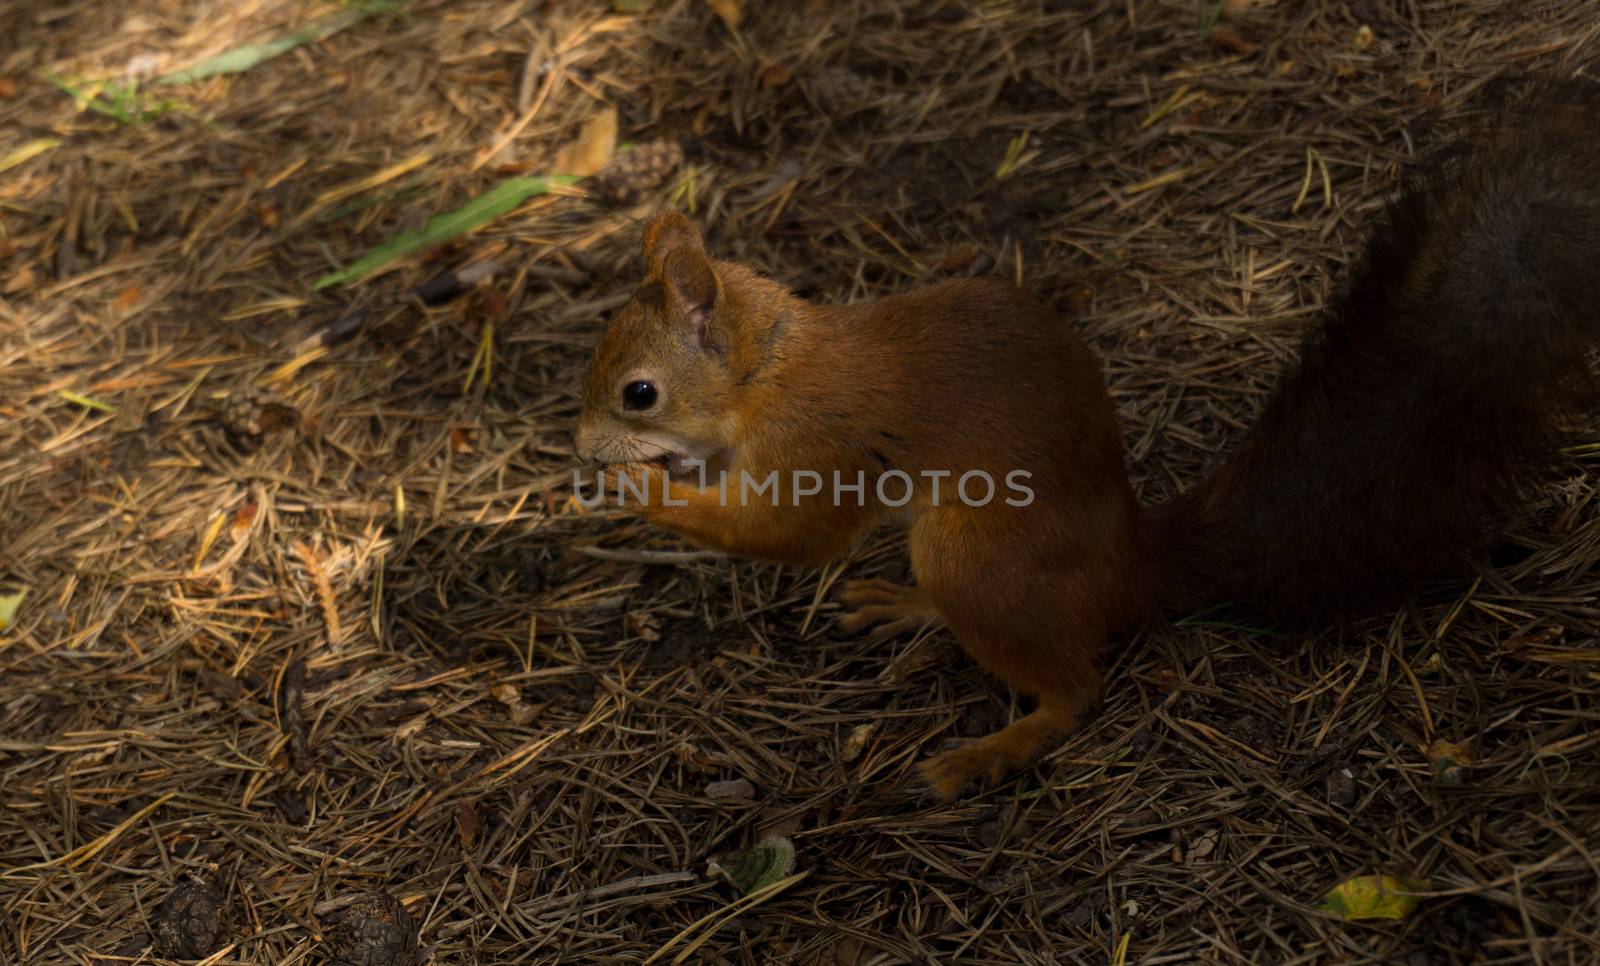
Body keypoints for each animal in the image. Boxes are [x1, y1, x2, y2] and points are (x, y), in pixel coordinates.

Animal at [572, 77, 1600, 799]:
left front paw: (643, 491)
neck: (765, 374)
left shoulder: (816, 442)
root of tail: (1129, 565)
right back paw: (907, 609)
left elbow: (787, 535)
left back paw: (994, 749)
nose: (583, 451)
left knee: (1075, 689)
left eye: (638, 392)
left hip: (977, 553)